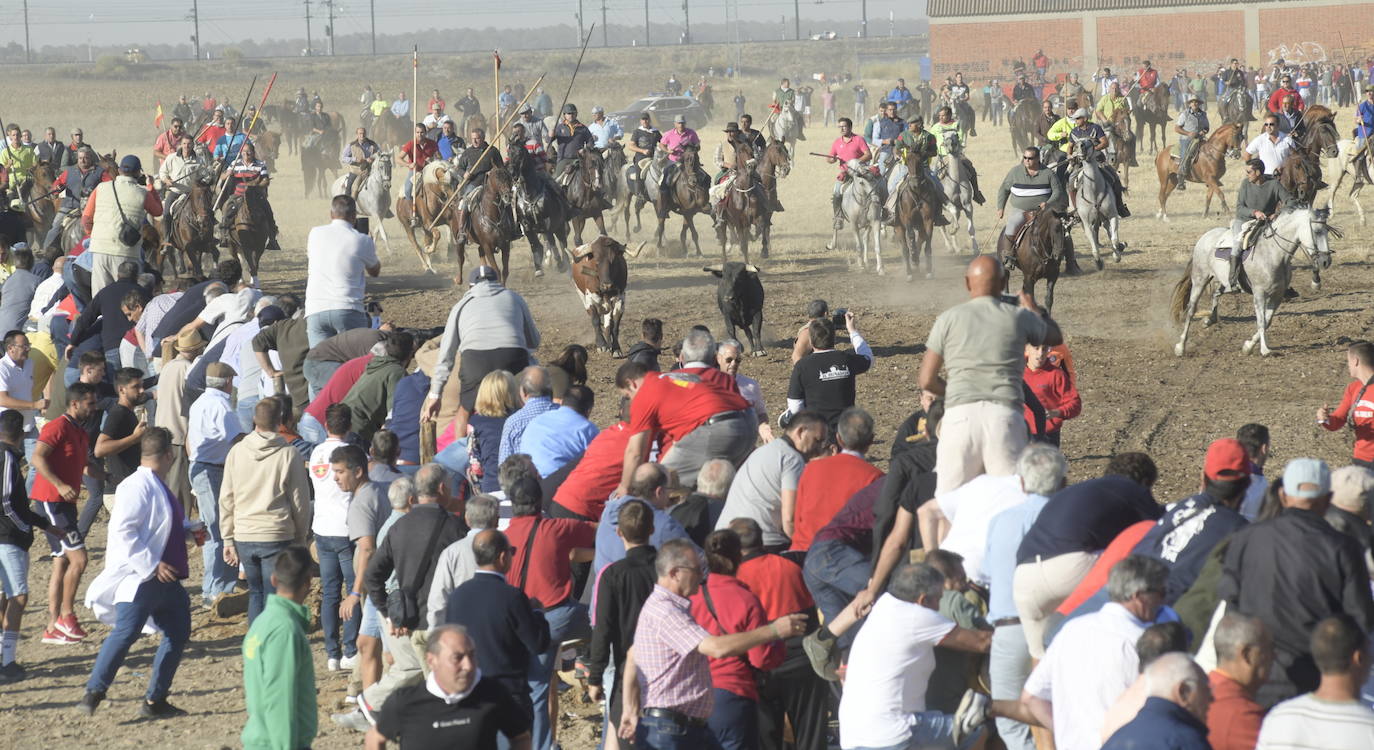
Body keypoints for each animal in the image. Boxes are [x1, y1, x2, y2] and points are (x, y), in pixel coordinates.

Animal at [508, 142, 571, 274]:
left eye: (520, 153)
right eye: (509, 153)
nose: (512, 172)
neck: (530, 194)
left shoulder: (547, 221)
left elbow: (551, 241)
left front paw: (559, 263)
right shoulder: (526, 224)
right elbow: (534, 244)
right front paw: (538, 269)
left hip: (559, 226)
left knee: (562, 242)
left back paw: (565, 262)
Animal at [884, 147, 939, 278]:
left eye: (920, 160)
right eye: (907, 160)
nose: (915, 183)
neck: (918, 193)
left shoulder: (928, 219)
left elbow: (928, 239)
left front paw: (928, 268)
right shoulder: (907, 218)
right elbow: (911, 236)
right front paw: (913, 256)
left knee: (921, 239)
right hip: (898, 227)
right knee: (905, 248)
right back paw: (909, 271)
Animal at [1170, 204, 1330, 357]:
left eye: (1327, 231)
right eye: (1317, 231)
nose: (1326, 261)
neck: (1273, 254)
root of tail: (1204, 237)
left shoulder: (1277, 295)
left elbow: (1267, 321)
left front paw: (1248, 346)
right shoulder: (1259, 294)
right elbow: (1261, 321)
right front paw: (1264, 350)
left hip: (1227, 284)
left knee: (1216, 294)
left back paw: (1210, 319)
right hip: (1200, 280)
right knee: (1191, 310)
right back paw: (1180, 346)